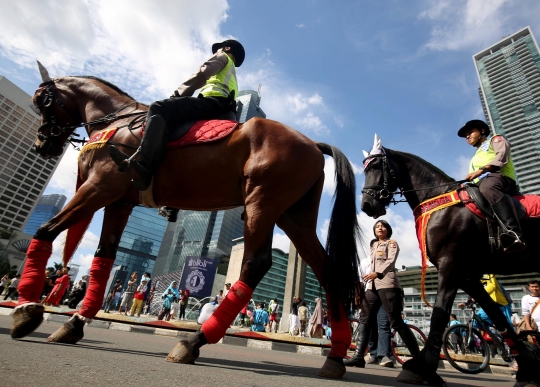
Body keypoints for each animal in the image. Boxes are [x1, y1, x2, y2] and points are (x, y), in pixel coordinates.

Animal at [9, 72, 362, 378]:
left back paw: (194, 341)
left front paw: (27, 309)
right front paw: (75, 322)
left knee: (256, 263)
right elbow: (103, 257)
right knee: (328, 272)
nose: (42, 145)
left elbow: (46, 231)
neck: (118, 124)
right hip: (294, 217)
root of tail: (313, 144)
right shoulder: (118, 202)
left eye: (42, 103)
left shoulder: (99, 187)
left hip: (261, 202)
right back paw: (335, 356)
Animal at [360, 136, 540, 387]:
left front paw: (422, 367)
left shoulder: (450, 265)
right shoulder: (467, 276)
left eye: (376, 167)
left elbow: (440, 313)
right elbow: (497, 318)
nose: (366, 205)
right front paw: (528, 369)